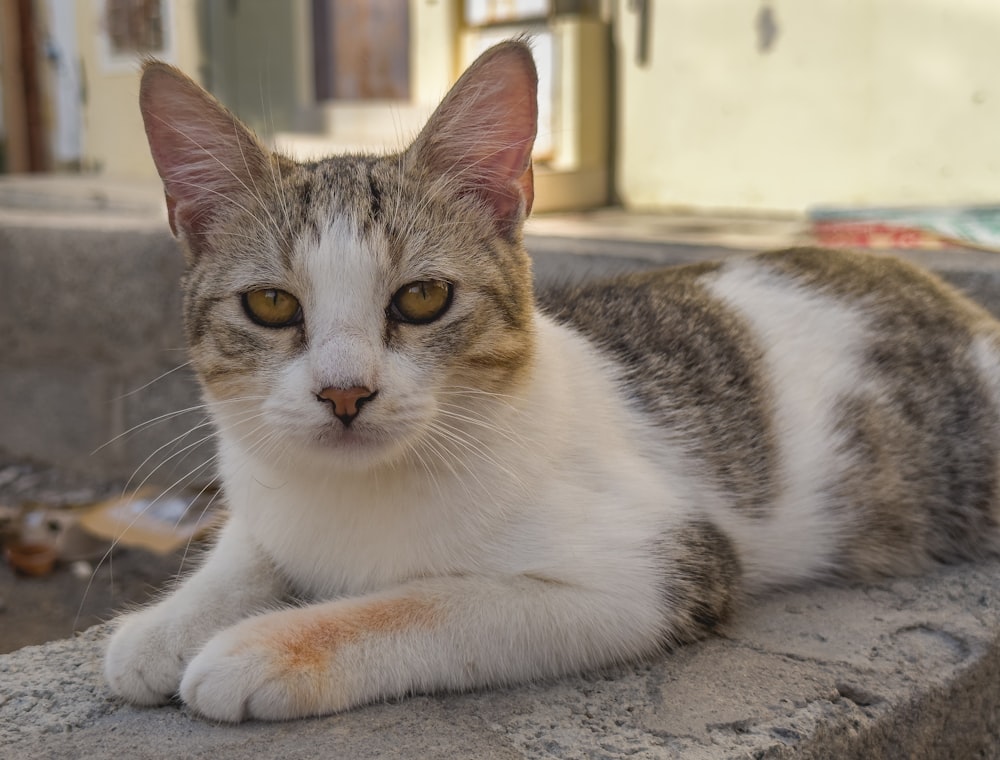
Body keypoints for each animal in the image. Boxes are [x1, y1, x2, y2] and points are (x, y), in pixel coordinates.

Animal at [103, 37, 1000, 724]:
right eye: (270, 304)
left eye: (423, 298)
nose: (344, 393)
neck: (358, 494)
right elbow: (250, 548)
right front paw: (165, 626)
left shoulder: (655, 570)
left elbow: (437, 601)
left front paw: (264, 646)